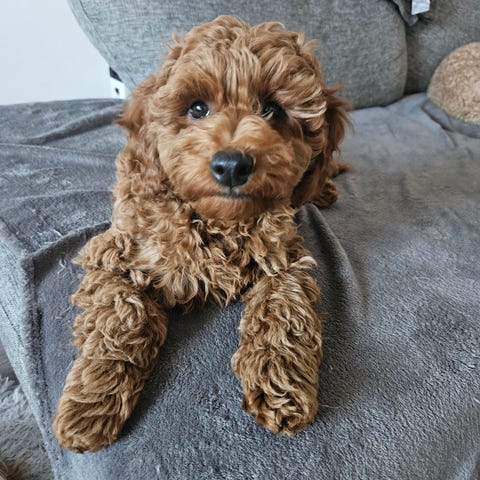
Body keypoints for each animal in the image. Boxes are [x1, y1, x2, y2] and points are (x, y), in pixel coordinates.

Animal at [53, 15, 349, 453]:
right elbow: (121, 316)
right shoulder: (114, 254)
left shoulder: (285, 258)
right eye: (197, 108)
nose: (231, 165)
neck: (214, 218)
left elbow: (283, 310)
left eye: (273, 110)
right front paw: (90, 403)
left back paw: (324, 189)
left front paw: (280, 386)